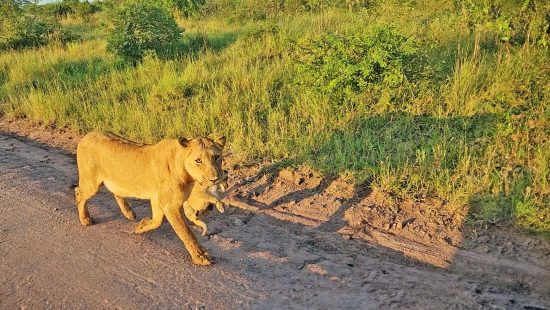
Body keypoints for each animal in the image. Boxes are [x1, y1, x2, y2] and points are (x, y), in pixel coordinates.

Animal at [75, 131, 226, 266]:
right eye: (198, 160)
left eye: (217, 157)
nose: (215, 179)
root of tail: (87, 135)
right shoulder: (170, 205)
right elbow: (186, 233)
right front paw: (201, 257)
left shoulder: (156, 198)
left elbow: (157, 221)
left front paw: (141, 226)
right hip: (91, 183)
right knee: (78, 193)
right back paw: (85, 219)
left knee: (116, 192)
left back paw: (129, 213)